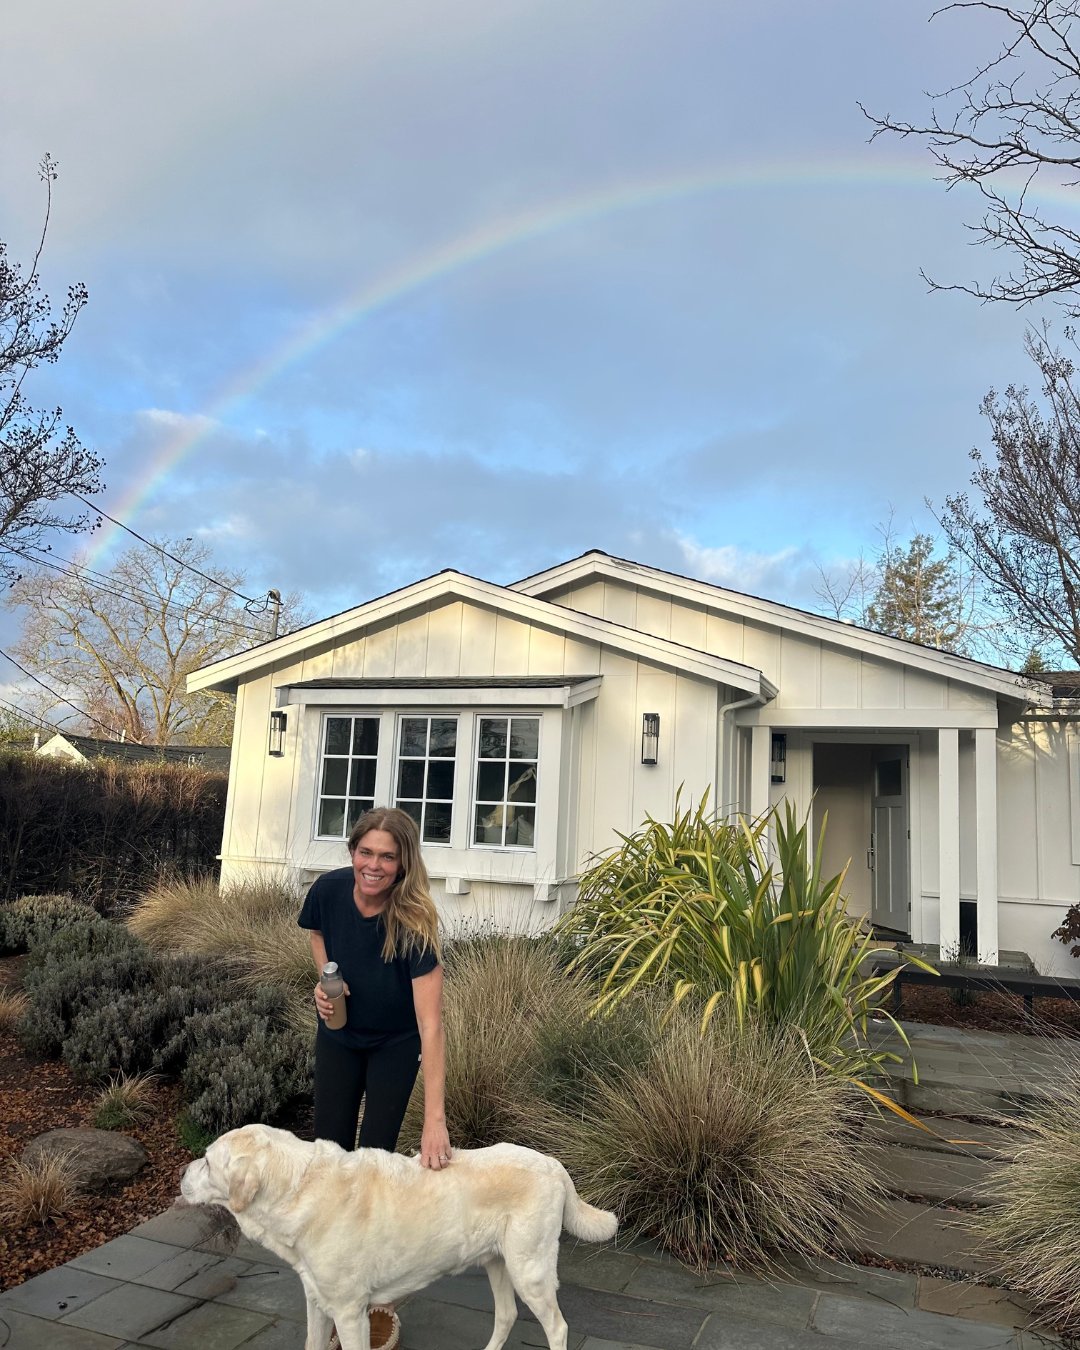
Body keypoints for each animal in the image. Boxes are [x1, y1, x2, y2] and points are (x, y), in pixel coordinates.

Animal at [179, 1123, 617, 1350]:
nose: (181, 1174)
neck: (298, 1187)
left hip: (530, 1270)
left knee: (556, 1327)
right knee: (507, 1314)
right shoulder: (317, 1302)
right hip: (498, 1261)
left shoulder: (349, 1312)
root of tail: (555, 1164)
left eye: (207, 1162)